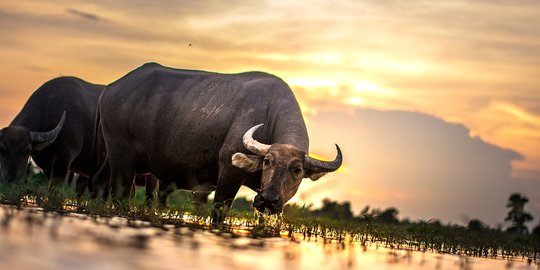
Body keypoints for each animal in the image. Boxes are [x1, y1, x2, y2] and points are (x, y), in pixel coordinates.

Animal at [94, 62, 342, 218]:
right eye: (267, 161)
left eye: (297, 170)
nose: (268, 199)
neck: (269, 115)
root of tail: (110, 89)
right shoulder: (228, 172)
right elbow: (219, 213)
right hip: (123, 162)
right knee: (120, 194)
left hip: (113, 159)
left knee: (99, 182)